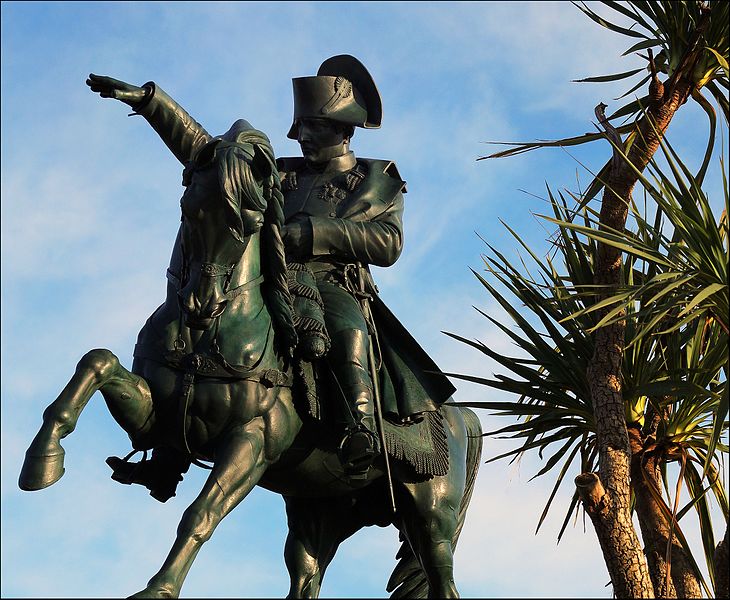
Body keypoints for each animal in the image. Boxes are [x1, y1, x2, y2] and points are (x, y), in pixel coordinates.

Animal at [17, 129, 480, 596]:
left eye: (249, 222)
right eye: (189, 209)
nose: (202, 303)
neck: (207, 338)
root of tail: (460, 415)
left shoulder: (253, 440)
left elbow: (200, 515)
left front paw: (158, 588)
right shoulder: (156, 418)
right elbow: (98, 362)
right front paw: (42, 461)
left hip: (430, 514)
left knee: (442, 577)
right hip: (318, 507)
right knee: (306, 572)